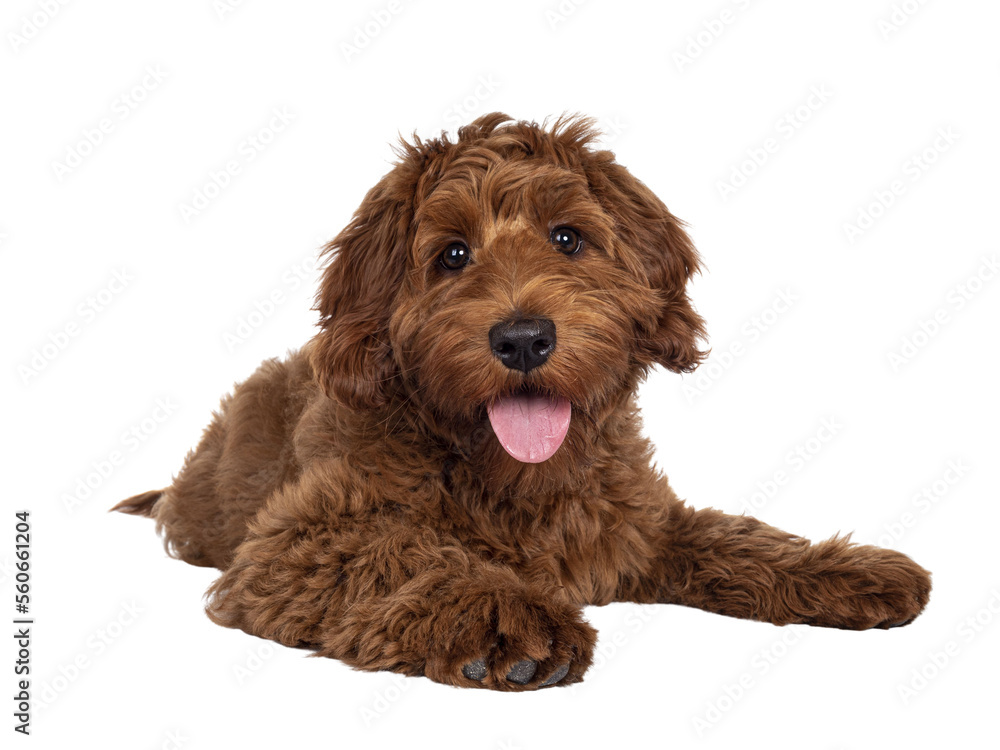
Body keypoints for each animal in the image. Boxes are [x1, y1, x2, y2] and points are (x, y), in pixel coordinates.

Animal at [115, 113, 928, 692]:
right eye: (451, 255)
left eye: (568, 238)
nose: (524, 339)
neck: (517, 481)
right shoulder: (294, 542)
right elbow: (398, 551)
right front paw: (502, 617)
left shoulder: (638, 524)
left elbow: (735, 538)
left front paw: (846, 570)